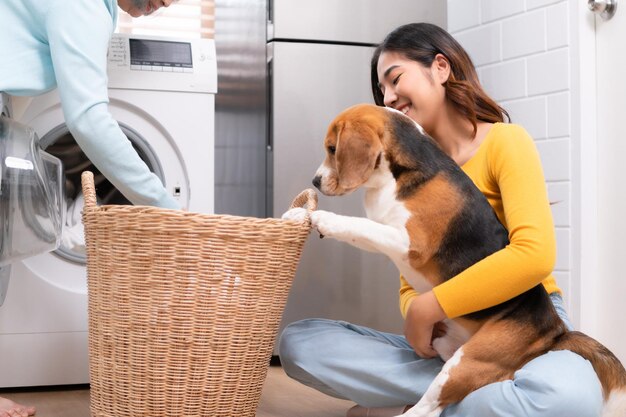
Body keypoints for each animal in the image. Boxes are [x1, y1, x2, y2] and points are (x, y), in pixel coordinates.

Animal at [282, 103, 624, 416]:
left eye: (332, 148)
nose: (315, 181)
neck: (398, 175)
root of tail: (555, 332)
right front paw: (299, 213)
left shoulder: (409, 242)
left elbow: (355, 225)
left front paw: (321, 219)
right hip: (446, 347)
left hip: (468, 360)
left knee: (430, 408)